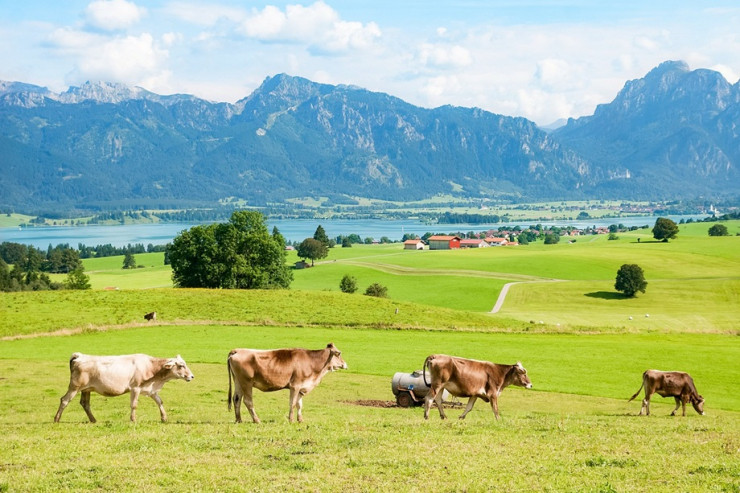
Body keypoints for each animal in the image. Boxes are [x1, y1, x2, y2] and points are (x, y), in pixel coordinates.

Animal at [53, 350, 195, 422]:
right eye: (181, 365)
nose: (192, 376)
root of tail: (80, 356)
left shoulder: (151, 390)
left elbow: (160, 402)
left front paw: (164, 418)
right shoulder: (135, 388)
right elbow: (134, 405)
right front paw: (133, 419)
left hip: (86, 389)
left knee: (85, 404)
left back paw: (93, 420)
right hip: (74, 387)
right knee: (64, 400)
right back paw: (56, 419)